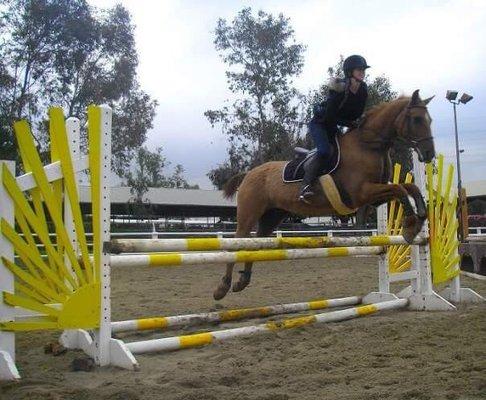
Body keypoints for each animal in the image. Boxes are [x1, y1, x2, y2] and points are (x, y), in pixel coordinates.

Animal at [215, 90, 434, 300]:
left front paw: (421, 217)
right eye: (416, 119)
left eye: (429, 120)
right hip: (249, 213)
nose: (429, 154)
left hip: (272, 217)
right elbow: (401, 190)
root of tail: (249, 173)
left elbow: (409, 188)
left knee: (254, 245)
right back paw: (222, 287)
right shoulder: (362, 193)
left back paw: (242, 281)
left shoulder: (376, 197)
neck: (368, 145)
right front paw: (410, 227)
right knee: (237, 244)